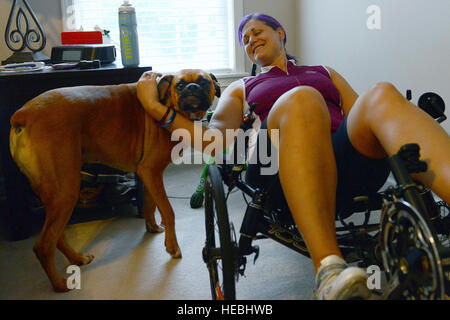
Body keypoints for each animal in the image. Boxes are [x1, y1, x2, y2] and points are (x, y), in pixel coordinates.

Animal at [9, 70, 221, 292]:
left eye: (204, 82)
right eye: (180, 85)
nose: (192, 88)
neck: (166, 104)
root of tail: (22, 114)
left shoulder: (149, 175)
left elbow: (150, 204)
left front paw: (152, 227)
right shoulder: (151, 172)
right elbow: (167, 211)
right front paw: (172, 245)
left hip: (56, 195)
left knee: (55, 237)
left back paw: (77, 258)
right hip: (65, 192)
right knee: (43, 246)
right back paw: (59, 284)